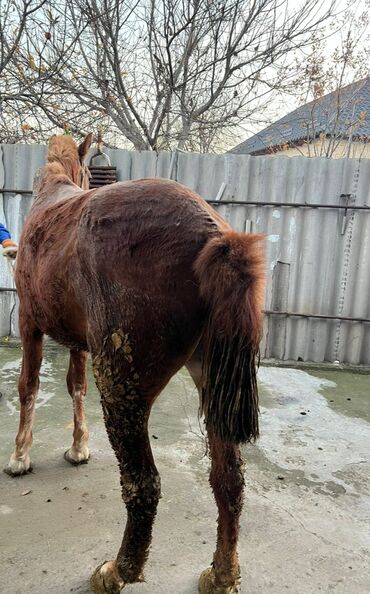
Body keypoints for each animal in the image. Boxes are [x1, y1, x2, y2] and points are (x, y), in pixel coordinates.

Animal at [5, 134, 266, 592]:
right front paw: (78, 446)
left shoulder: (29, 322)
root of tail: (214, 234)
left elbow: (28, 387)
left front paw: (20, 457)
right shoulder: (79, 342)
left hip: (122, 383)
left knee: (143, 483)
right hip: (211, 381)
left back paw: (118, 570)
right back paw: (221, 574)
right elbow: (74, 387)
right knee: (229, 478)